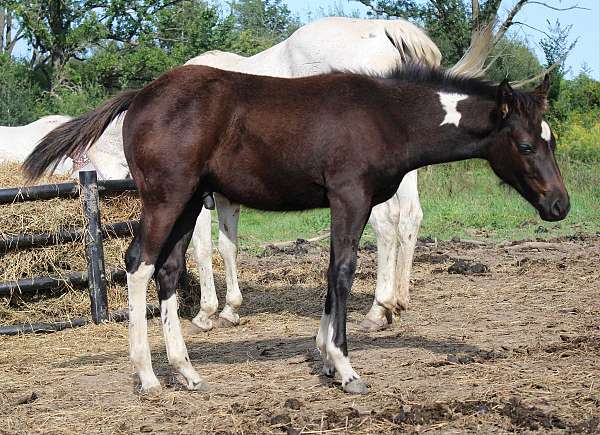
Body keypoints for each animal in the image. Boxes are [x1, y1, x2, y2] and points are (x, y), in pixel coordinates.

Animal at [22, 63, 568, 396]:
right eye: (524, 145)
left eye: (552, 140)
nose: (560, 205)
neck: (385, 116)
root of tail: (142, 94)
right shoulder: (350, 196)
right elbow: (343, 270)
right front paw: (345, 367)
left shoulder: (344, 202)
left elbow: (331, 271)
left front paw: (325, 357)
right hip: (166, 197)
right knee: (139, 264)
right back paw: (149, 377)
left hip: (189, 201)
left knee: (168, 271)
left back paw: (186, 370)